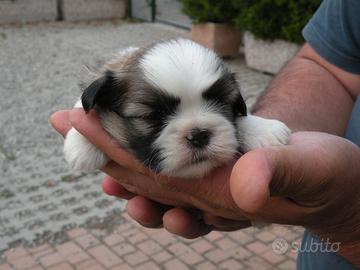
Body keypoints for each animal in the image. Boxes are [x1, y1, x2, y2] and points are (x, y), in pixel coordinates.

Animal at [64, 38, 290, 177]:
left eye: (222, 103)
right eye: (152, 115)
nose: (198, 134)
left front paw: (262, 129)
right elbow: (81, 107)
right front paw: (81, 145)